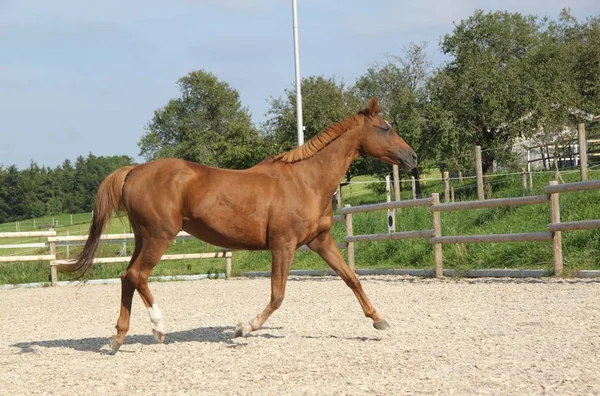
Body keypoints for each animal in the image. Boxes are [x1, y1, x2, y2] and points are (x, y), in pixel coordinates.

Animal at [65, 97, 418, 354]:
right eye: (385, 127)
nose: (413, 158)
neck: (306, 181)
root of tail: (134, 171)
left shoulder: (320, 241)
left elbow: (351, 278)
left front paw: (379, 320)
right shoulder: (283, 245)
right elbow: (278, 295)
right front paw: (243, 328)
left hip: (142, 238)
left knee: (127, 277)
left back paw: (117, 339)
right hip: (159, 237)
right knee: (138, 276)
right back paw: (159, 328)